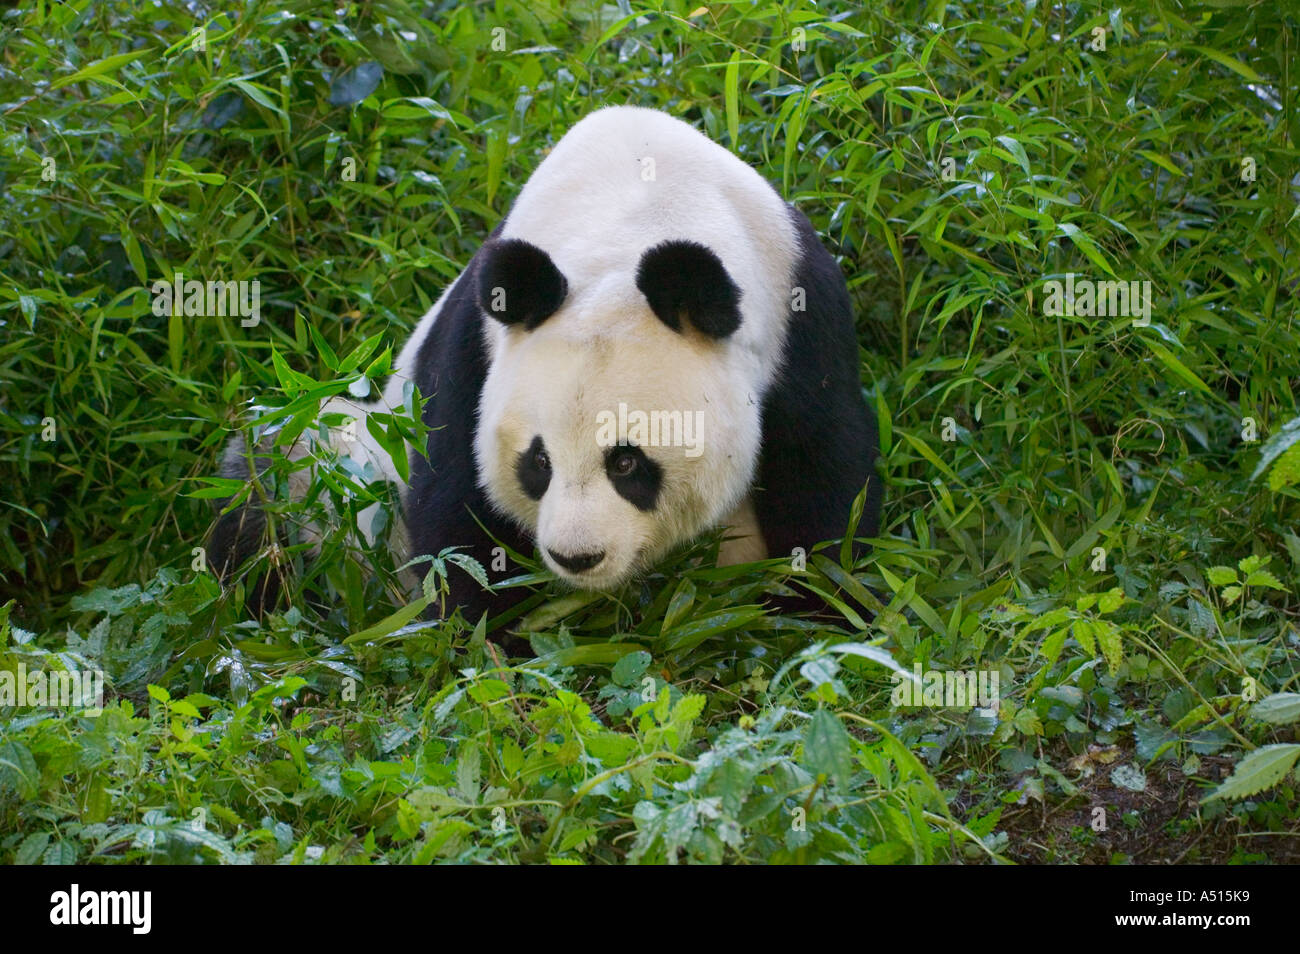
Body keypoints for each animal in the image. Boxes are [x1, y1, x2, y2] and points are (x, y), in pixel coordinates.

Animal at [215, 104, 883, 623]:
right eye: (537, 461)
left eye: (626, 460)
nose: (576, 557)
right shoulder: (477, 345)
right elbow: (455, 505)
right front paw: (490, 639)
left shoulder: (800, 316)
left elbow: (825, 475)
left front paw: (816, 609)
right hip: (341, 492)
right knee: (274, 473)